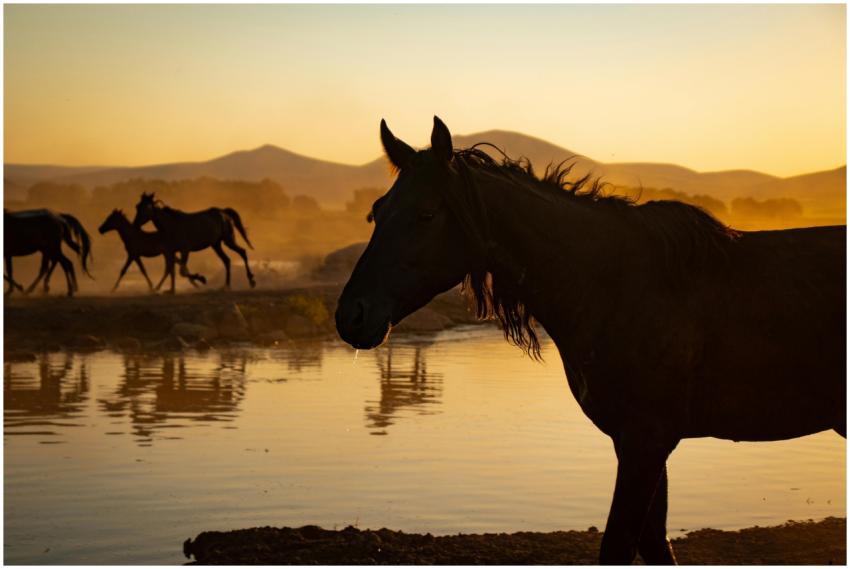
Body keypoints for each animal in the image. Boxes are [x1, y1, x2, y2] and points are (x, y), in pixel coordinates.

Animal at [335, 118, 846, 565]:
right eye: (377, 212)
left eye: (425, 214)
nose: (350, 315)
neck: (617, 287)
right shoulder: (640, 442)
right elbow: (653, 542)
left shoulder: (645, 441)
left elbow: (620, 545)